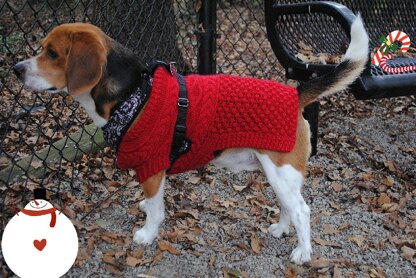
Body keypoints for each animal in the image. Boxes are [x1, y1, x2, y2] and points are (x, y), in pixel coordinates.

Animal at [14, 15, 368, 264]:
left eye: (52, 53)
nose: (16, 68)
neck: (132, 94)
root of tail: (294, 95)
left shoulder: (152, 165)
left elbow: (156, 209)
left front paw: (146, 234)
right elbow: (153, 202)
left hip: (282, 172)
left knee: (302, 211)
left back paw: (303, 253)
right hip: (276, 174)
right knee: (288, 206)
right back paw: (282, 230)